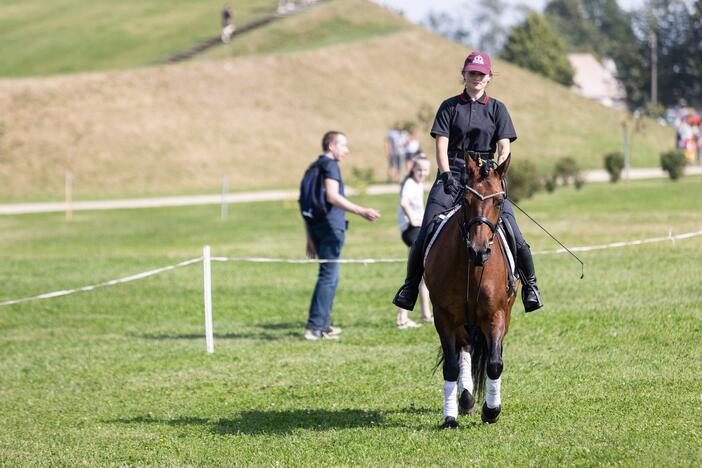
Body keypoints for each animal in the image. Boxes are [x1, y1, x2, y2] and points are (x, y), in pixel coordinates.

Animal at [424, 154, 516, 428]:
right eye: (465, 200)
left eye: (499, 200)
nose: (479, 250)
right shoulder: (444, 317)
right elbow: (451, 367)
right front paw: (450, 417)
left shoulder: (496, 315)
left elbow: (495, 364)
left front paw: (492, 411)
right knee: (464, 348)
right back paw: (464, 399)